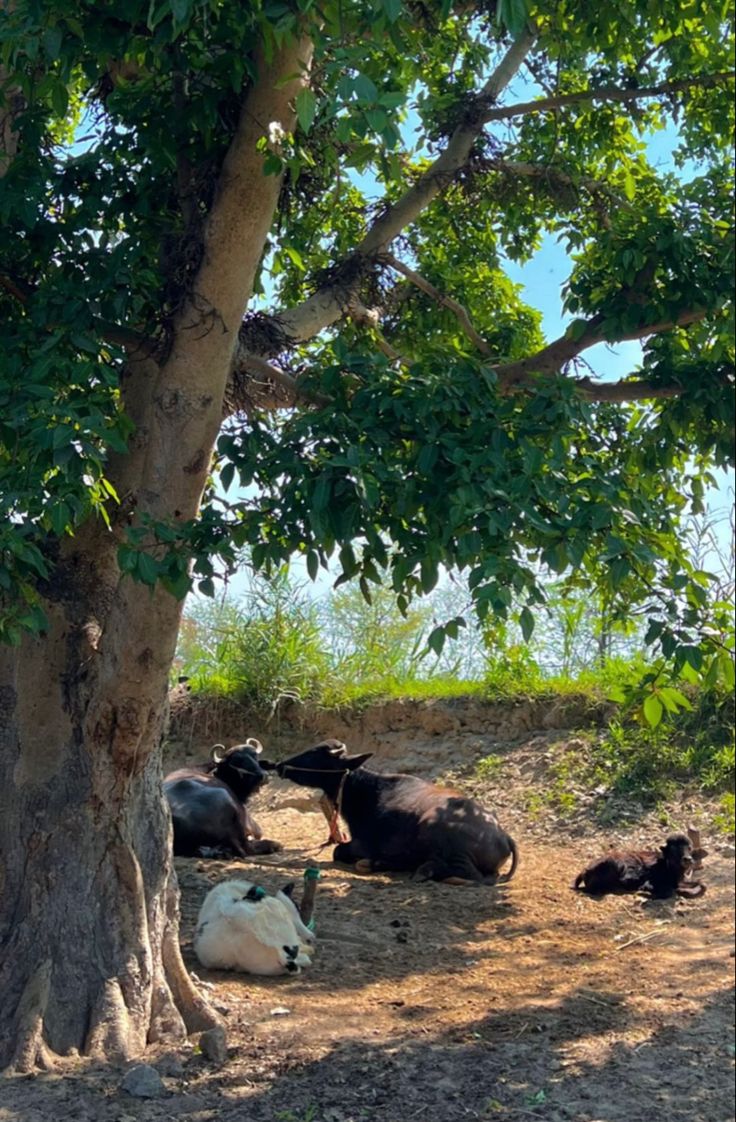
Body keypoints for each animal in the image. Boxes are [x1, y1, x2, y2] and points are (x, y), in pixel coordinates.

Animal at [264, 736, 518, 884]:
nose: (280, 765)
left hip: (435, 831)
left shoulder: (362, 844)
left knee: (467, 874)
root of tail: (503, 836)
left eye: (314, 755)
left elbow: (338, 851)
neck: (366, 791)